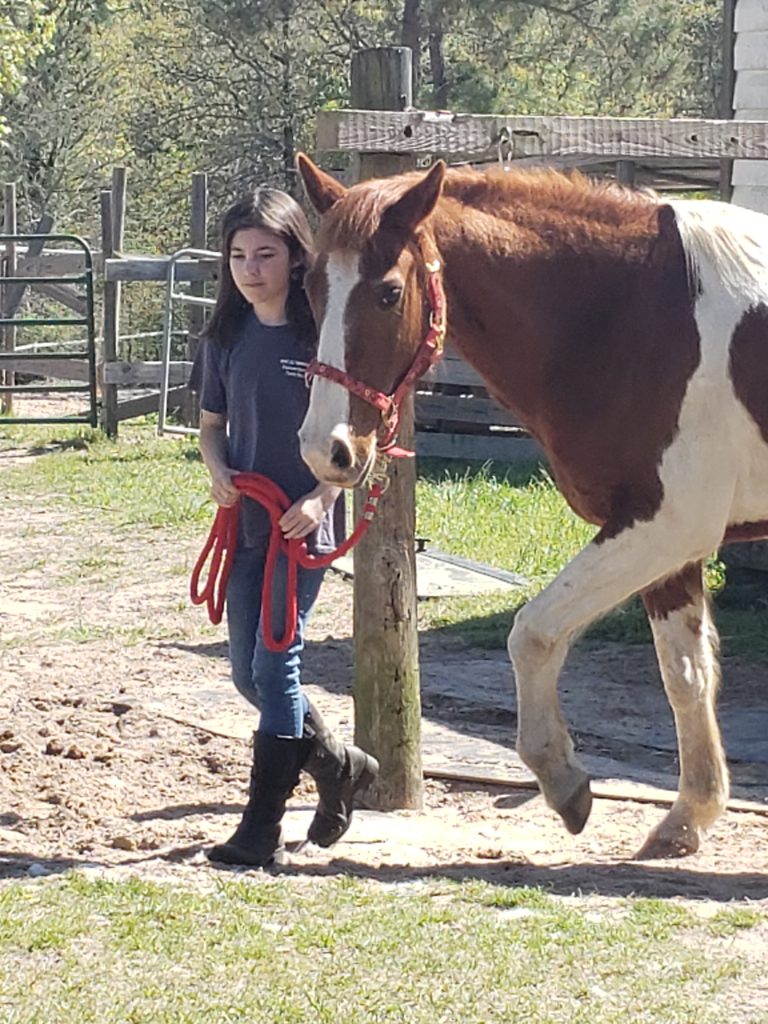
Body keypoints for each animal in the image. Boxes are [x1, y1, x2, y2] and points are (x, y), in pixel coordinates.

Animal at [292, 149, 768, 856]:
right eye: (311, 288)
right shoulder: (668, 543)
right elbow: (685, 676)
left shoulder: (664, 525)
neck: (637, 313)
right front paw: (688, 818)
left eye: (389, 292)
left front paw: (561, 776)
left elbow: (533, 633)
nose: (328, 450)